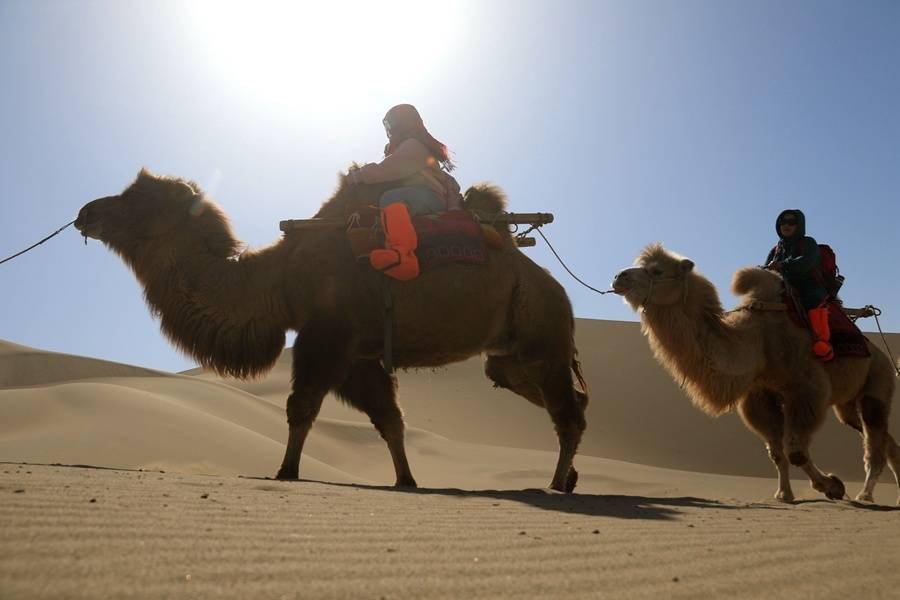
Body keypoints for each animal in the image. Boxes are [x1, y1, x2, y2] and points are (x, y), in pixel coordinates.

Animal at [75, 169, 592, 492]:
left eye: (136, 199)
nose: (86, 212)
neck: (278, 280)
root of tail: (554, 286)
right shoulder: (357, 355)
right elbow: (390, 420)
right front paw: (406, 480)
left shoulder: (327, 336)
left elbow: (301, 407)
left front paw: (285, 471)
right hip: (510, 357)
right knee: (567, 400)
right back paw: (568, 477)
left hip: (542, 334)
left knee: (567, 412)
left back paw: (554, 484)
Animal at [612, 241, 900, 504]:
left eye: (657, 270)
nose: (618, 277)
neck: (757, 342)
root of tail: (883, 356)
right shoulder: (760, 394)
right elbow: (777, 453)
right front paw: (784, 494)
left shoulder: (807, 389)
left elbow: (796, 452)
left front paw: (833, 486)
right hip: (847, 404)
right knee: (880, 437)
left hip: (877, 382)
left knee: (874, 438)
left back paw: (865, 495)